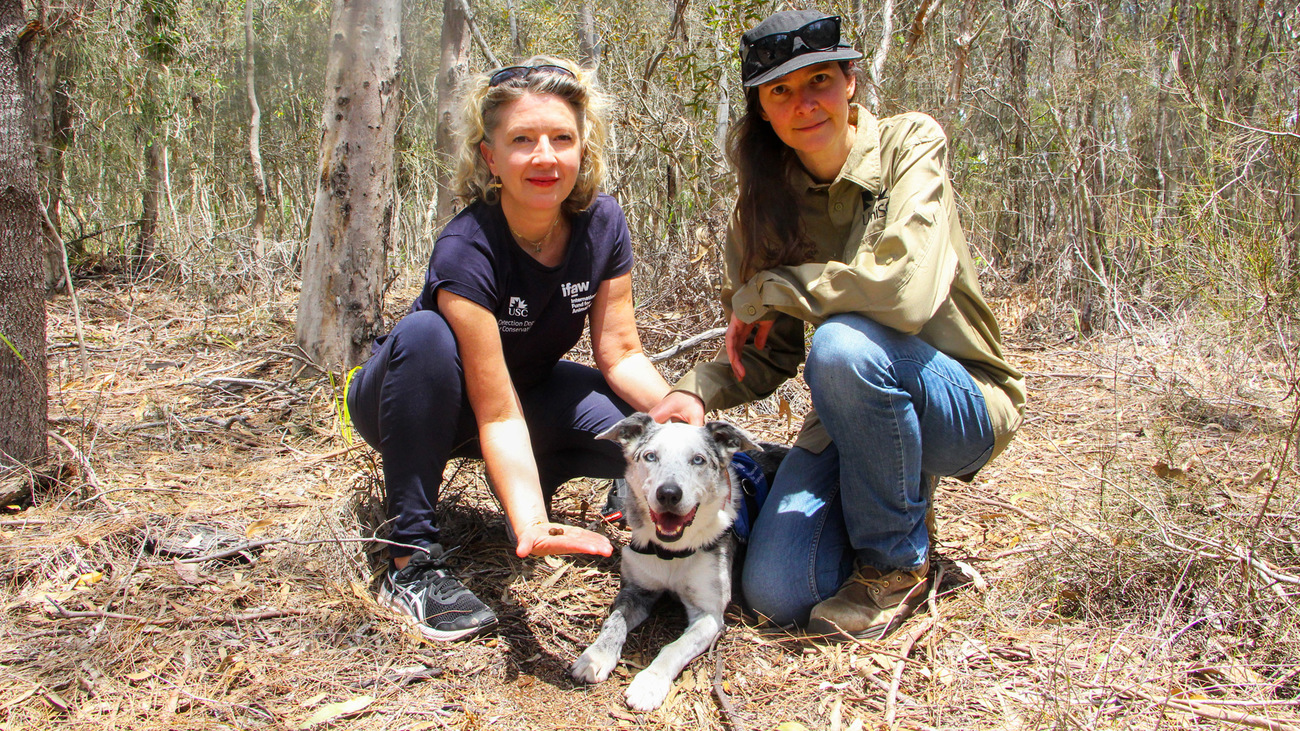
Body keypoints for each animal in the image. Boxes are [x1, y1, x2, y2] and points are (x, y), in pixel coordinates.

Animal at [569, 413, 759, 707]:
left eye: (698, 460)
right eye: (650, 456)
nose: (668, 493)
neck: (672, 551)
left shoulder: (709, 614)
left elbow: (674, 648)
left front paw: (649, 683)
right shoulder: (636, 591)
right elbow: (614, 623)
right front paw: (596, 656)